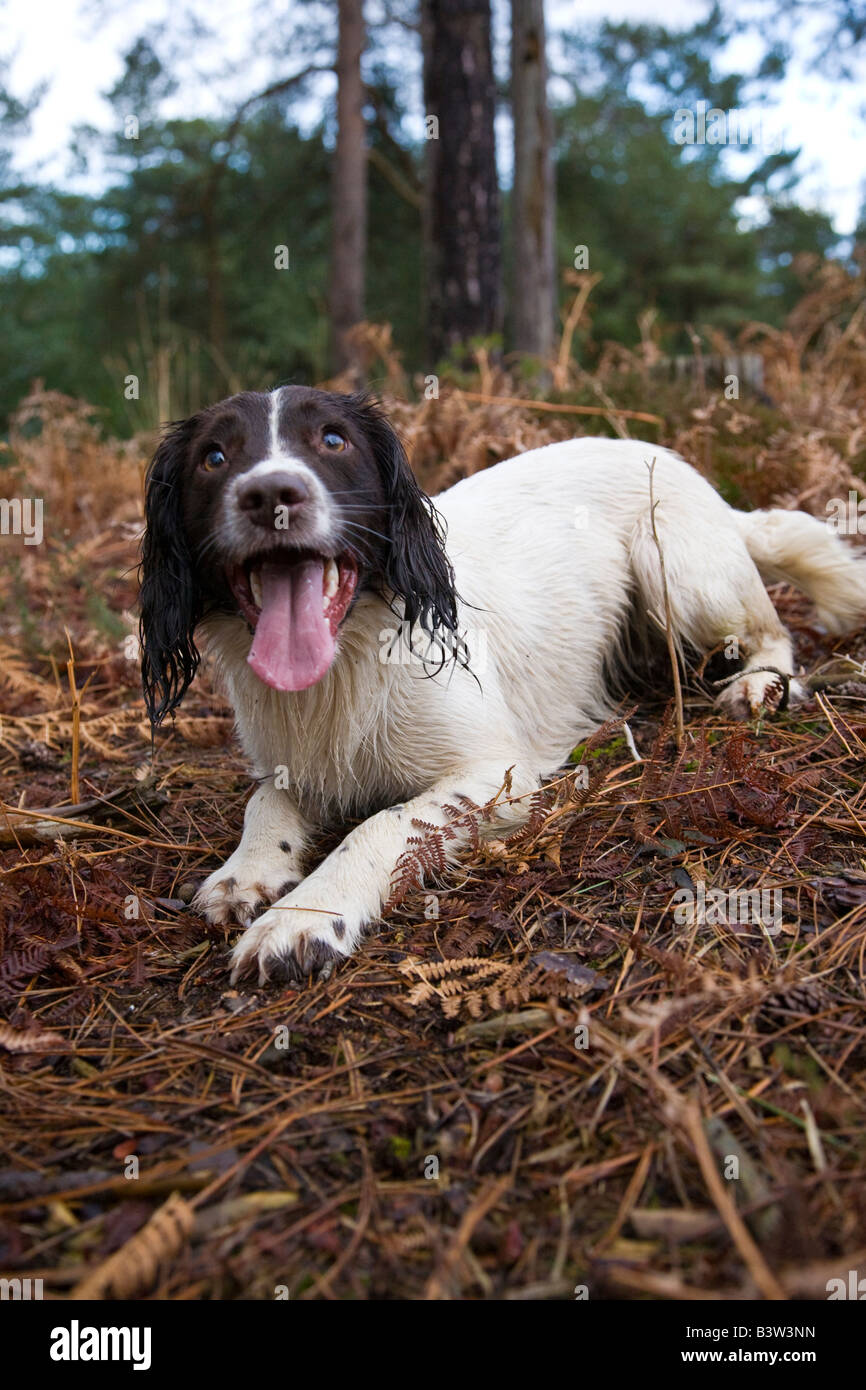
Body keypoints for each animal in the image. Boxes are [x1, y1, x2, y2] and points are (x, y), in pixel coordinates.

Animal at [139, 386, 866, 984]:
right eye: (213, 457)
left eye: (333, 440)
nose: (271, 495)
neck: (345, 662)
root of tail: (680, 465)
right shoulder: (289, 763)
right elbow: (265, 804)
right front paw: (246, 873)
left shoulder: (497, 778)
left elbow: (378, 825)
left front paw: (303, 919)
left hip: (686, 581)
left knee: (771, 633)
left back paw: (759, 687)